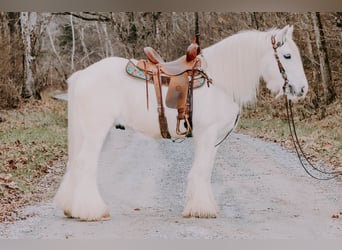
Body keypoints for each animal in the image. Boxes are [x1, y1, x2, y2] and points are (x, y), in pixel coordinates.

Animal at [54, 24, 310, 221]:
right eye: (287, 56)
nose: (302, 89)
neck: (218, 81)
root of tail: (83, 75)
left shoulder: (210, 139)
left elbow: (203, 170)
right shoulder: (207, 134)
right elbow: (202, 171)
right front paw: (202, 209)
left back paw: (72, 208)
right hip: (96, 131)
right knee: (85, 164)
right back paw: (91, 211)